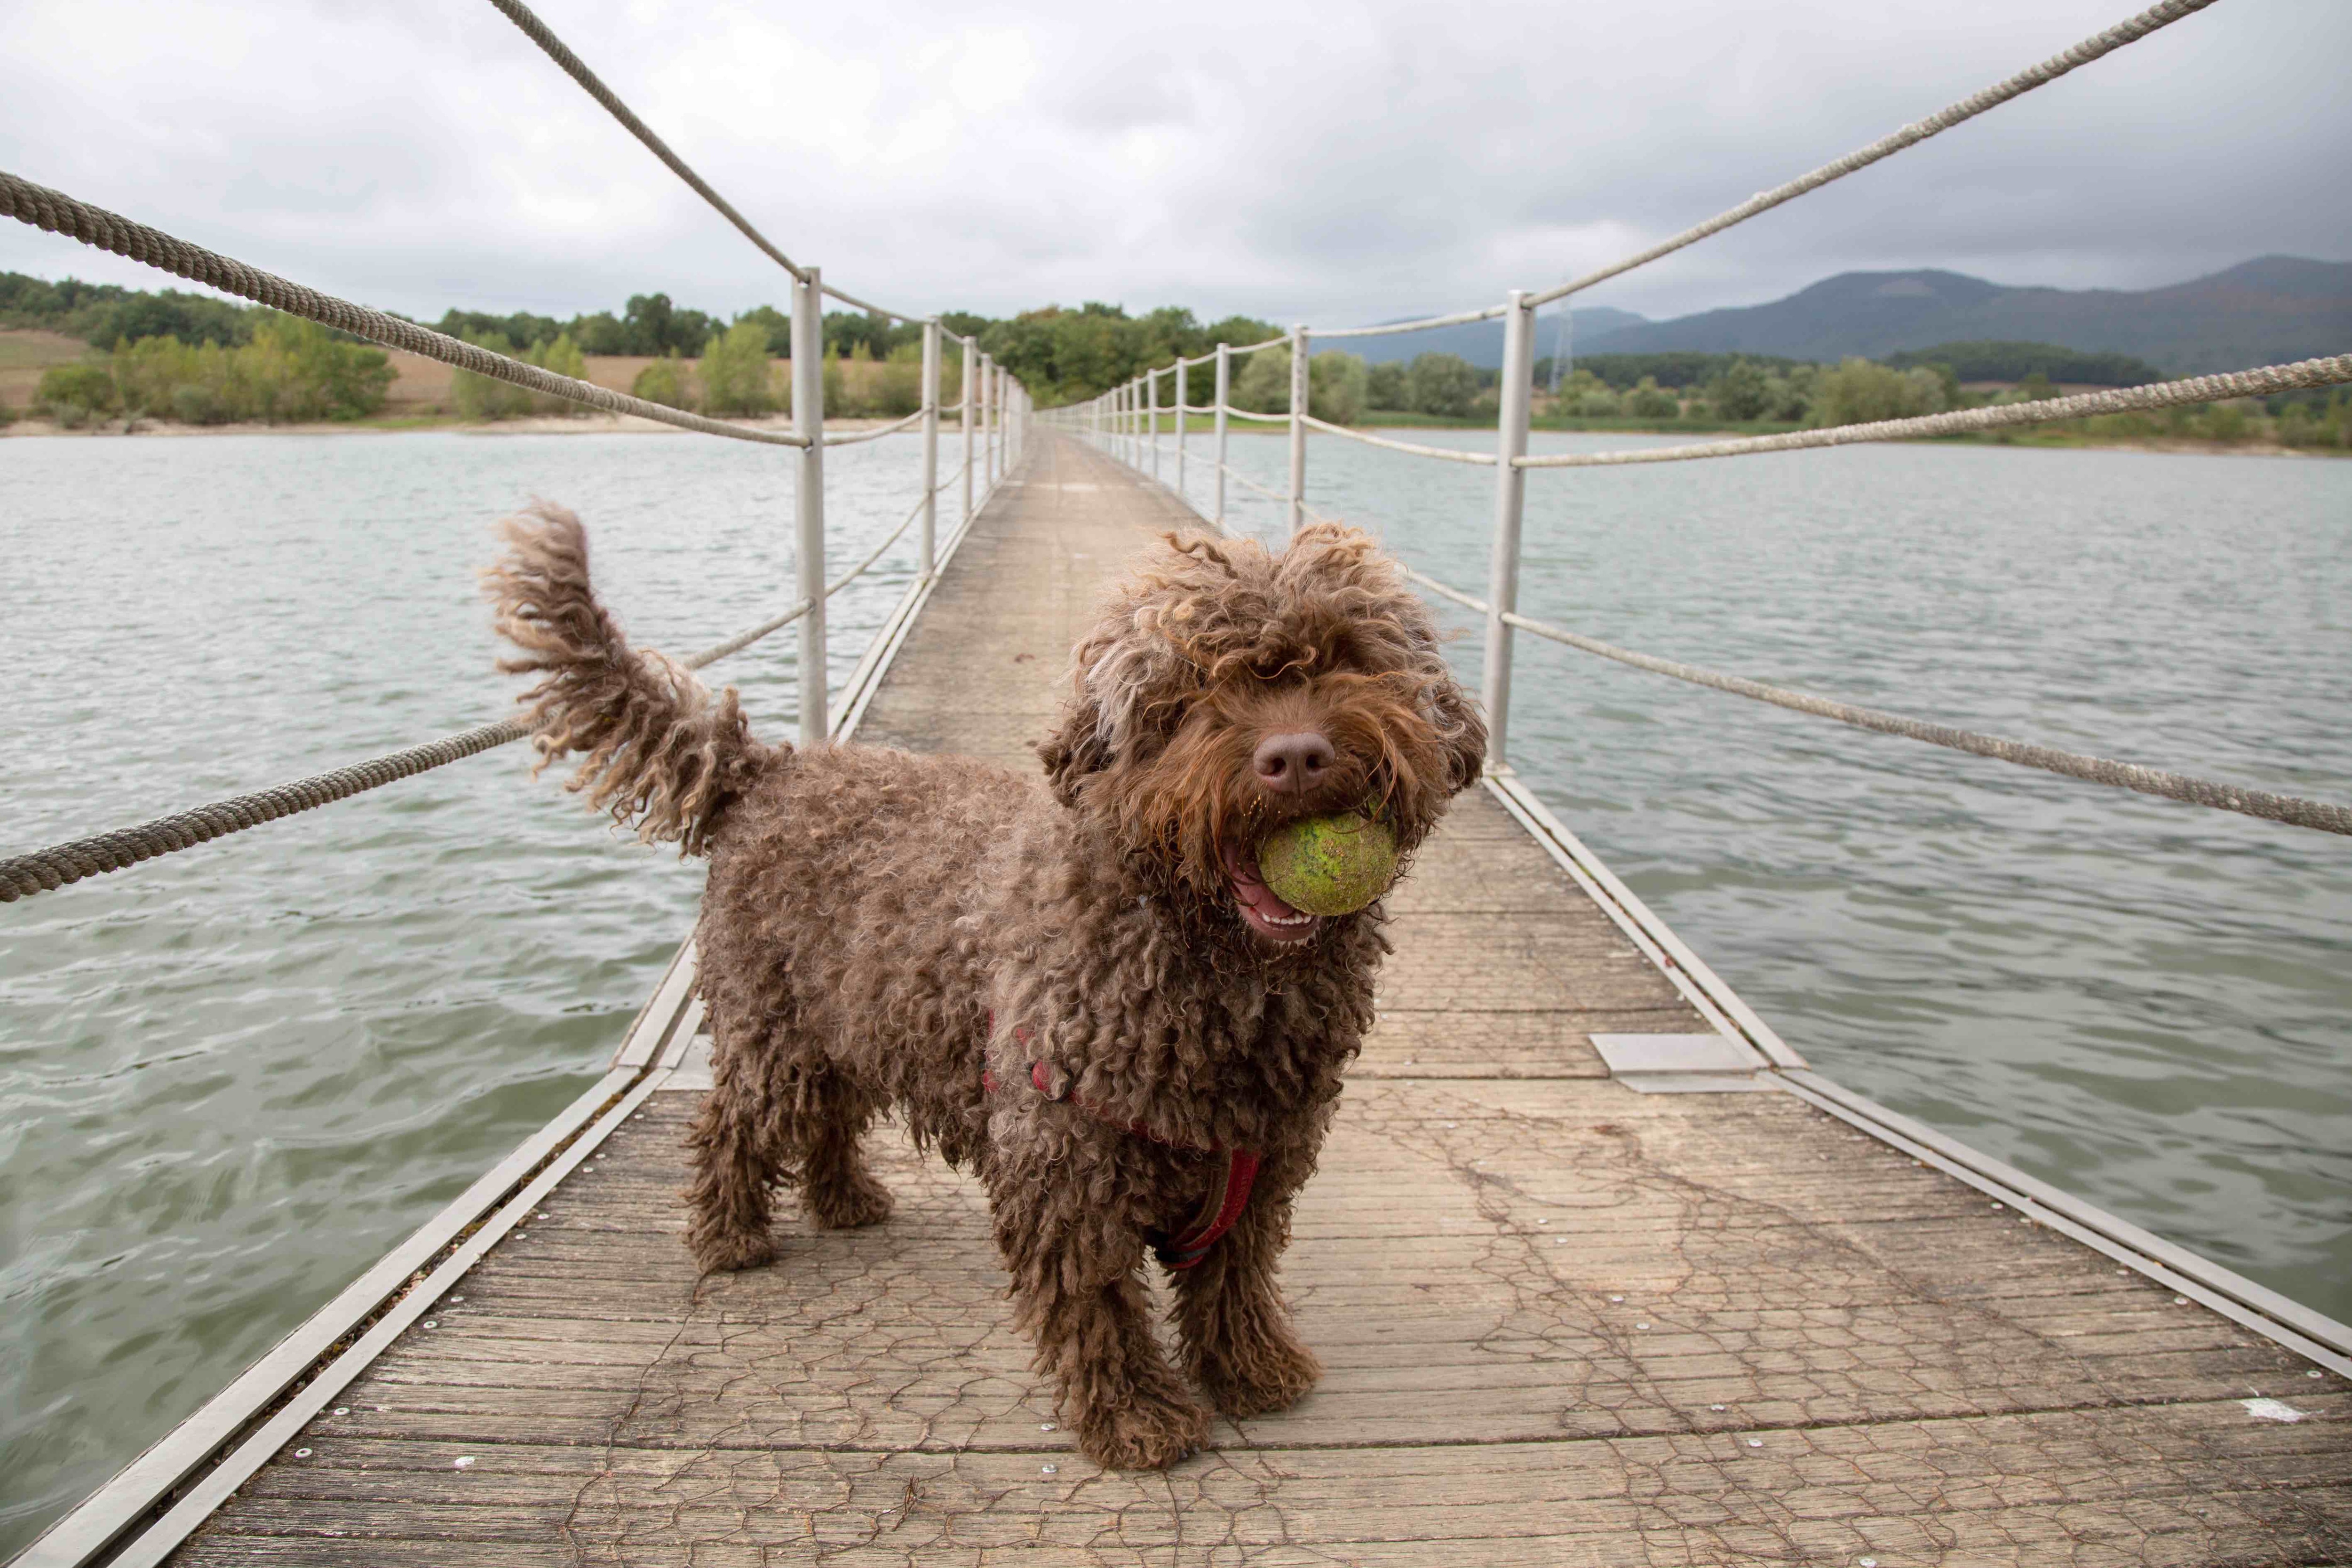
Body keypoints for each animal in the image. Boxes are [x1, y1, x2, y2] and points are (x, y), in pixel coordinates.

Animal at [492, 503, 1486, 1476]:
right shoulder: (1065, 1156)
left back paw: (847, 1199)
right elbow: (1097, 1300)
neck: (1212, 967)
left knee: (829, 1113)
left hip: (851, 1015)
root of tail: (768, 768)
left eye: (1346, 655)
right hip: (773, 1025)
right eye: (1194, 692)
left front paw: (1251, 1368)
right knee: (732, 1124)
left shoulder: (1264, 1150)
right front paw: (1135, 1417)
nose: (1297, 756)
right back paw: (731, 1236)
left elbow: (1233, 1269)